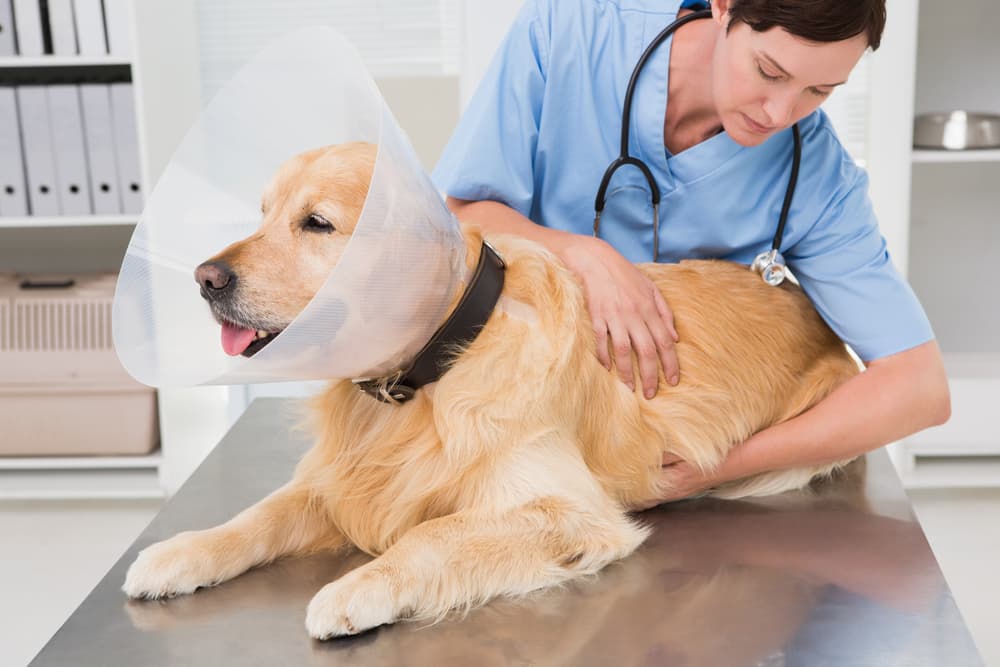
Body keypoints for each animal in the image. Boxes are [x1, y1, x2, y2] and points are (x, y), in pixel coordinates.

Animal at [123, 142, 860, 640]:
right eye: (265, 213)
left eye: (318, 223)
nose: (204, 278)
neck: (439, 362)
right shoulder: (343, 476)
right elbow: (259, 515)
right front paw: (179, 553)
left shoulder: (571, 511)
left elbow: (433, 533)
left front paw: (357, 588)